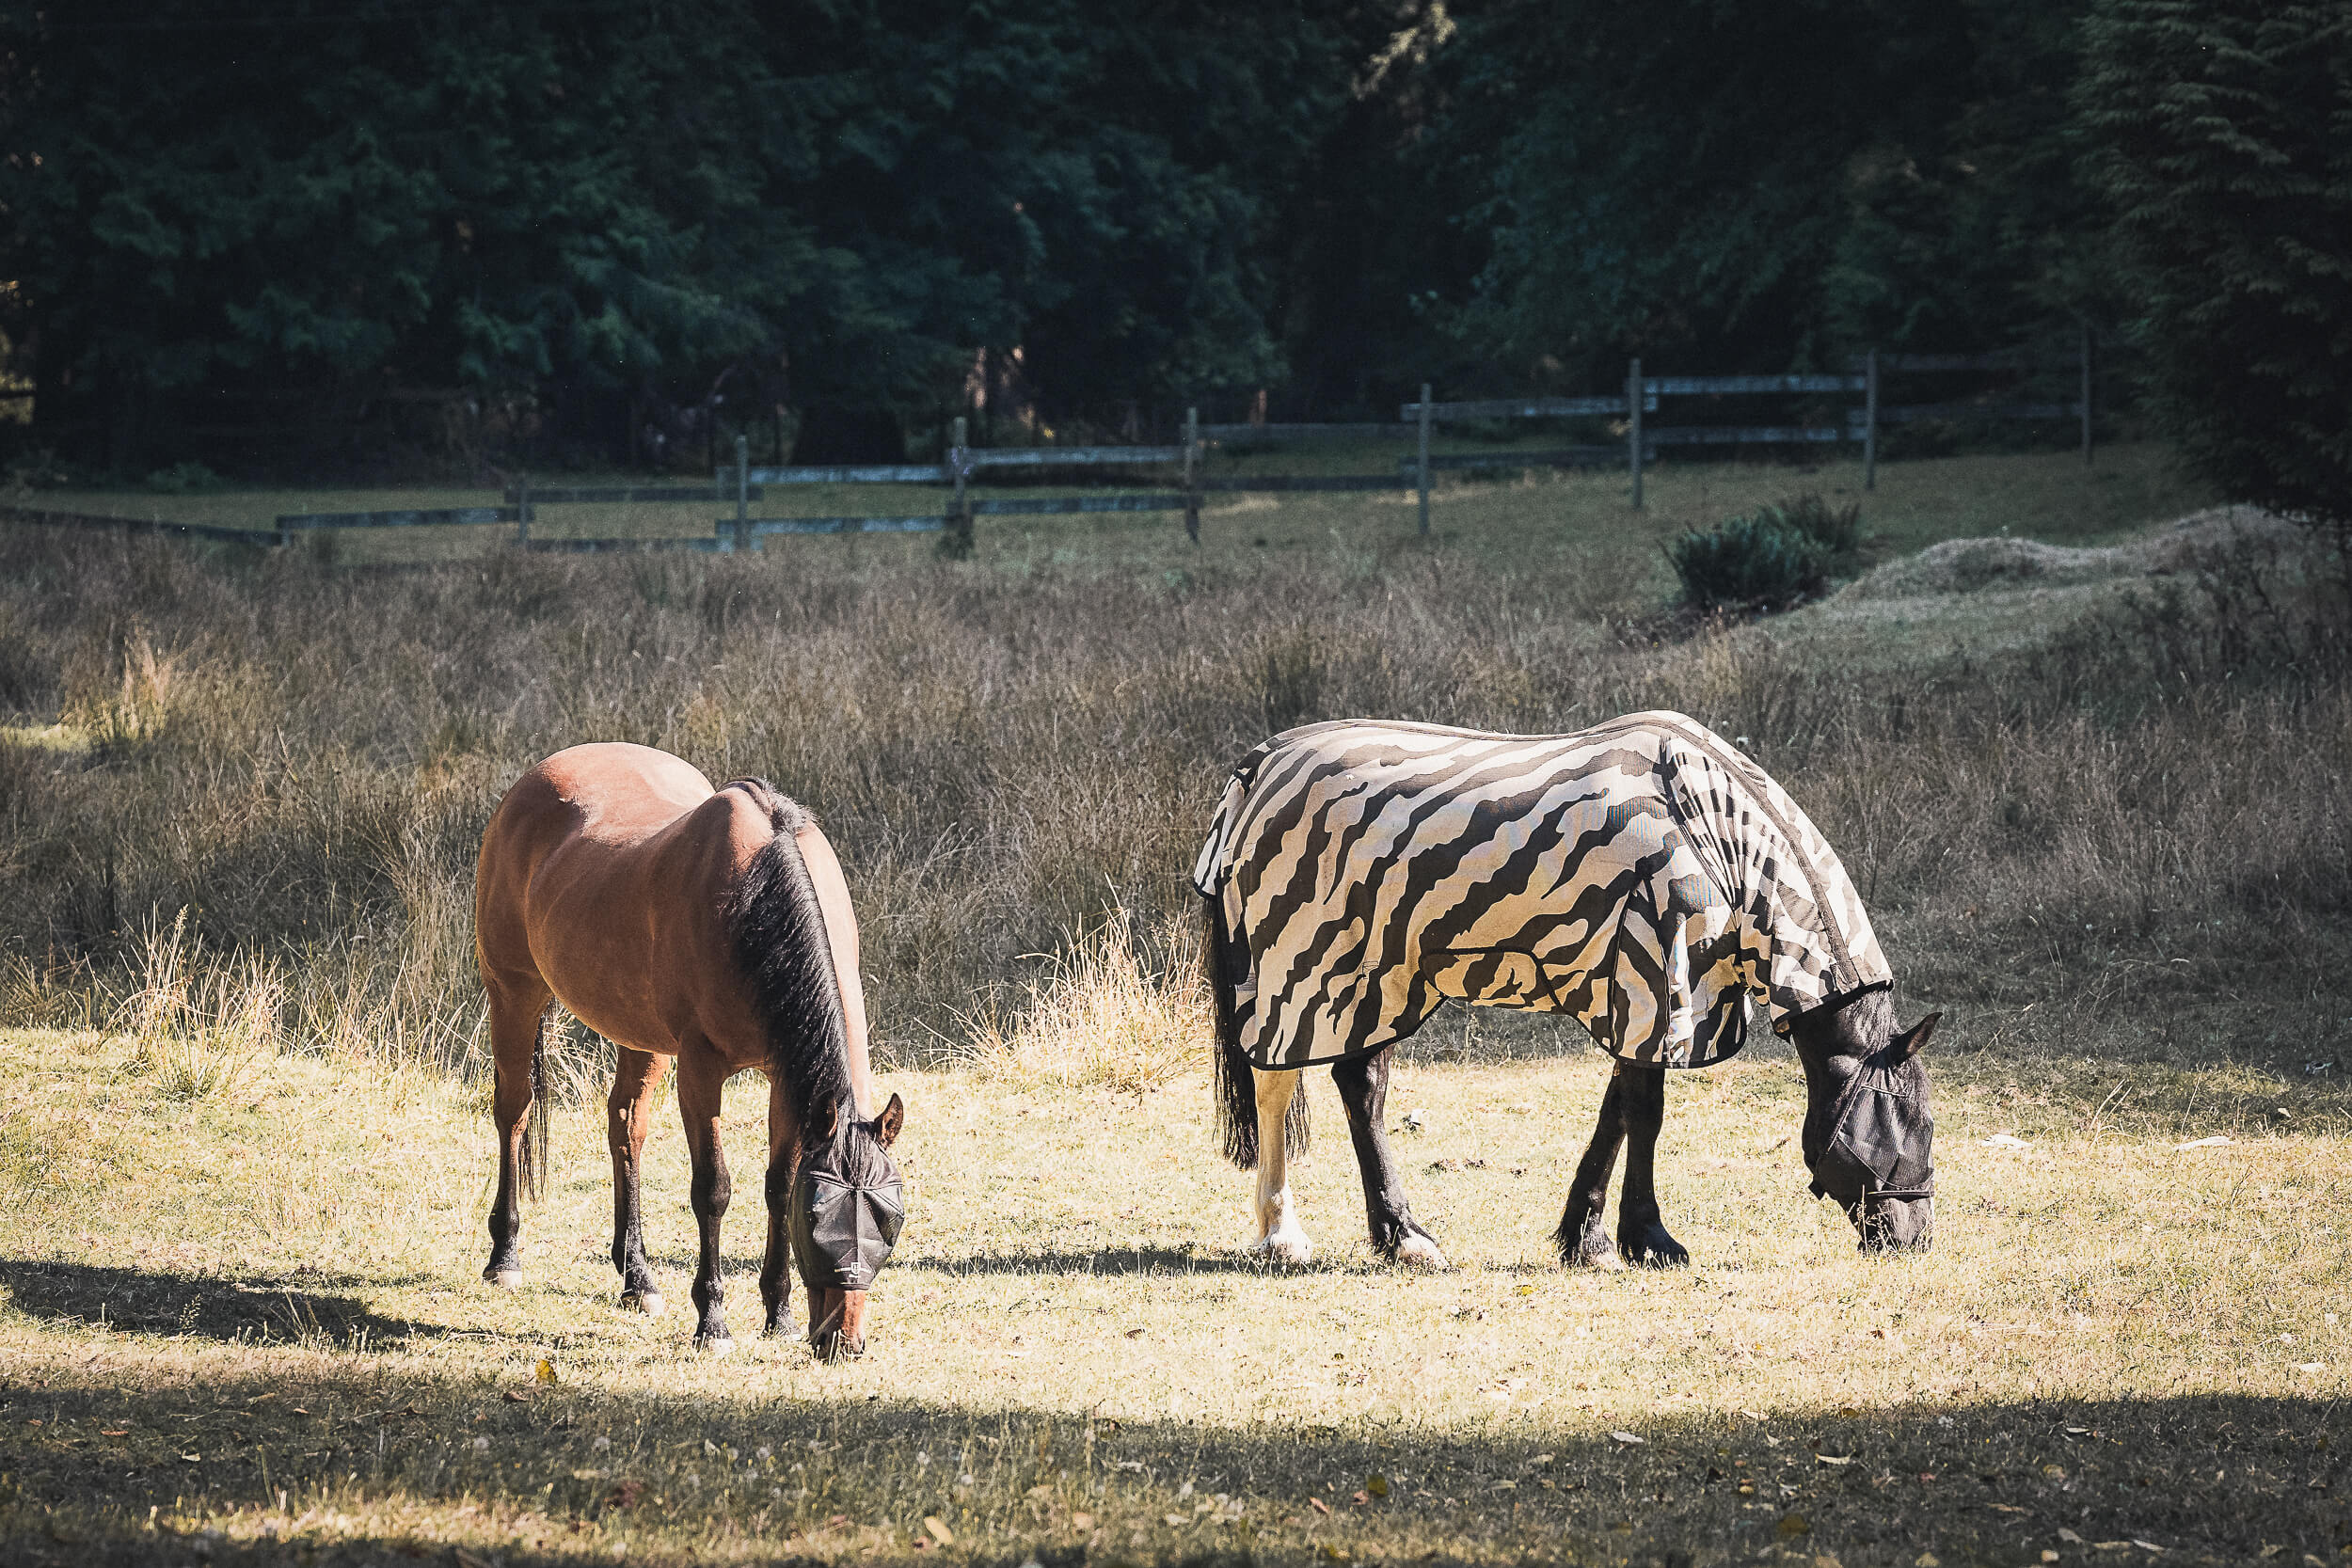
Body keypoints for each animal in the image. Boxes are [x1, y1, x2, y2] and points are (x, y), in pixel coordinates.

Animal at [472, 742, 903, 1354]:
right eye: (819, 1219)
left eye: (890, 1219)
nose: (843, 1341)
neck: (755, 899)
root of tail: (530, 783)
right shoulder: (701, 1070)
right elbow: (713, 1190)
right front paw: (713, 1320)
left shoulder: (784, 1078)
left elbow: (778, 1184)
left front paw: (779, 1314)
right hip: (513, 992)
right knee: (514, 1112)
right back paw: (504, 1256)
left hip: (643, 1037)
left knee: (625, 1126)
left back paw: (638, 1278)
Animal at [1204, 719, 1938, 1269]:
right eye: (1915, 1124)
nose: (1916, 1241)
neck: (1720, 839)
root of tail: (1260, 767)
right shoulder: (1658, 970)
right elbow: (1646, 1114)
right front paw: (1650, 1239)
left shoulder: (1636, 992)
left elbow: (1617, 1112)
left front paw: (1585, 1238)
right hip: (1305, 965)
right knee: (1278, 1085)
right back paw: (1287, 1234)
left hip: (1378, 979)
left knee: (1359, 1086)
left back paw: (1396, 1236)